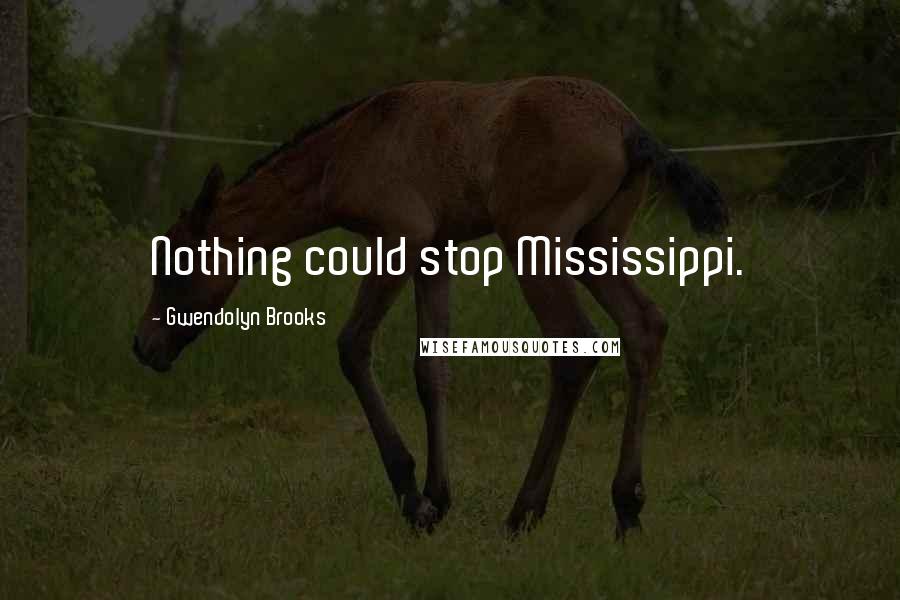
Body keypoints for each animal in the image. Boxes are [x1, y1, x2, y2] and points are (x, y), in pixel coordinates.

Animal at [134, 76, 728, 540]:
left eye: (174, 266)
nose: (143, 346)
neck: (345, 149)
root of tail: (630, 128)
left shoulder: (399, 238)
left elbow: (352, 347)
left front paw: (412, 498)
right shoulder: (435, 251)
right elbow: (432, 369)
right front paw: (438, 498)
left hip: (536, 243)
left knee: (575, 349)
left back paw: (523, 513)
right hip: (595, 242)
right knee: (643, 327)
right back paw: (627, 507)